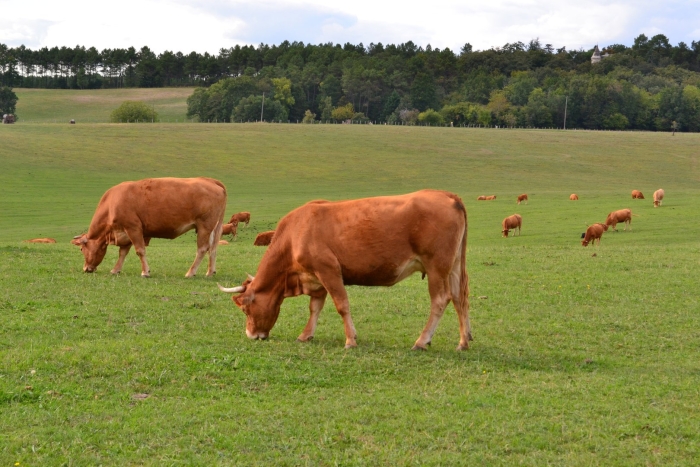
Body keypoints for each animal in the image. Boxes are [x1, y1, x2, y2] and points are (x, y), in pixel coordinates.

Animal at [71, 177, 226, 277]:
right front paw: (116, 270)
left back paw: (190, 272)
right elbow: (123, 253)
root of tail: (210, 181)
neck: (111, 203)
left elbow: (140, 251)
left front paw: (145, 272)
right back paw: (210, 272)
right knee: (213, 249)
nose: (86, 268)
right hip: (213, 228)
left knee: (202, 249)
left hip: (204, 227)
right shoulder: (126, 233)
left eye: (81, 249)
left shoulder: (133, 228)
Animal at [218, 190, 471, 351]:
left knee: (441, 300)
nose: (251, 335)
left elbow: (342, 305)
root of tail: (447, 195)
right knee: (460, 299)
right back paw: (463, 341)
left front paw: (350, 340)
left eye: (245, 310)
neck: (295, 234)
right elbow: (315, 308)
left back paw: (421, 341)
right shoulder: (316, 278)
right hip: (454, 266)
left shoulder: (329, 270)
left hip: (436, 267)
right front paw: (305, 335)